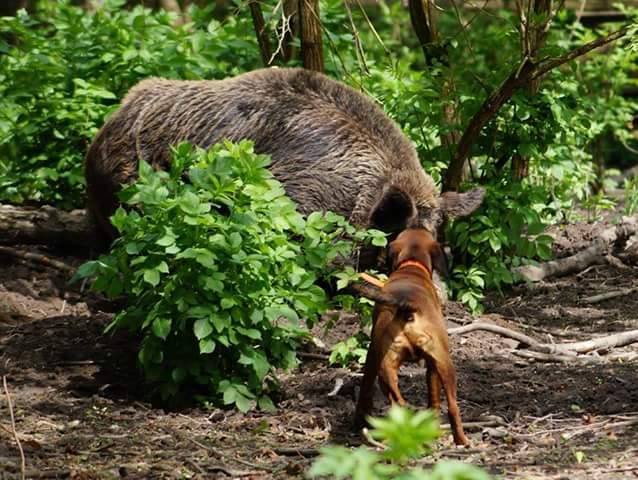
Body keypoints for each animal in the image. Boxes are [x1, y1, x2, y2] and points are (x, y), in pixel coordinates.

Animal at [354, 228, 469, 446]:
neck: (412, 266)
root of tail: (407, 306)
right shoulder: (432, 366)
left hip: (390, 369)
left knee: (401, 403)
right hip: (442, 365)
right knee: (451, 406)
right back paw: (460, 441)